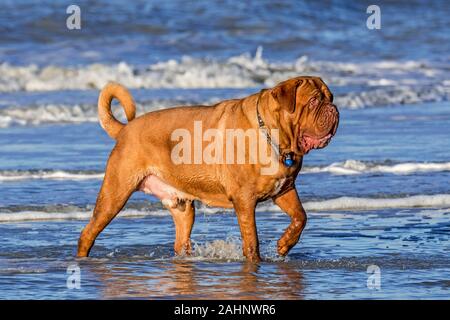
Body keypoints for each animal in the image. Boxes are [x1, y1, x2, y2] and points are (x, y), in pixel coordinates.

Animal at [76, 76, 338, 262]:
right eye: (314, 101)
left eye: (330, 97)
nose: (334, 109)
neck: (274, 137)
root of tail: (125, 129)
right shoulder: (245, 201)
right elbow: (251, 240)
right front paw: (255, 259)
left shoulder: (285, 190)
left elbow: (300, 217)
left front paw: (284, 244)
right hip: (114, 195)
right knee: (88, 233)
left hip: (182, 208)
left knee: (181, 241)